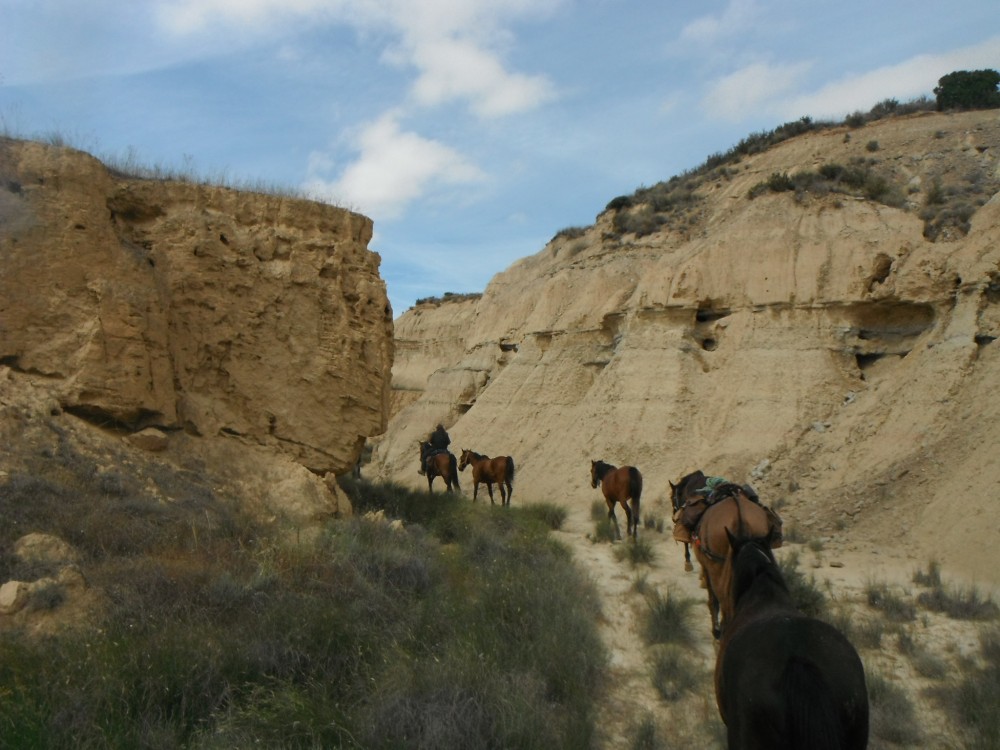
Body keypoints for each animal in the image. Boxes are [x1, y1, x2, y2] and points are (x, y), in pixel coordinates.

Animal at [692, 482, 776, 640]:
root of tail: (740, 516)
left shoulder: (707, 567)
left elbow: (713, 600)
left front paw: (716, 630)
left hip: (717, 567)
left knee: (722, 602)